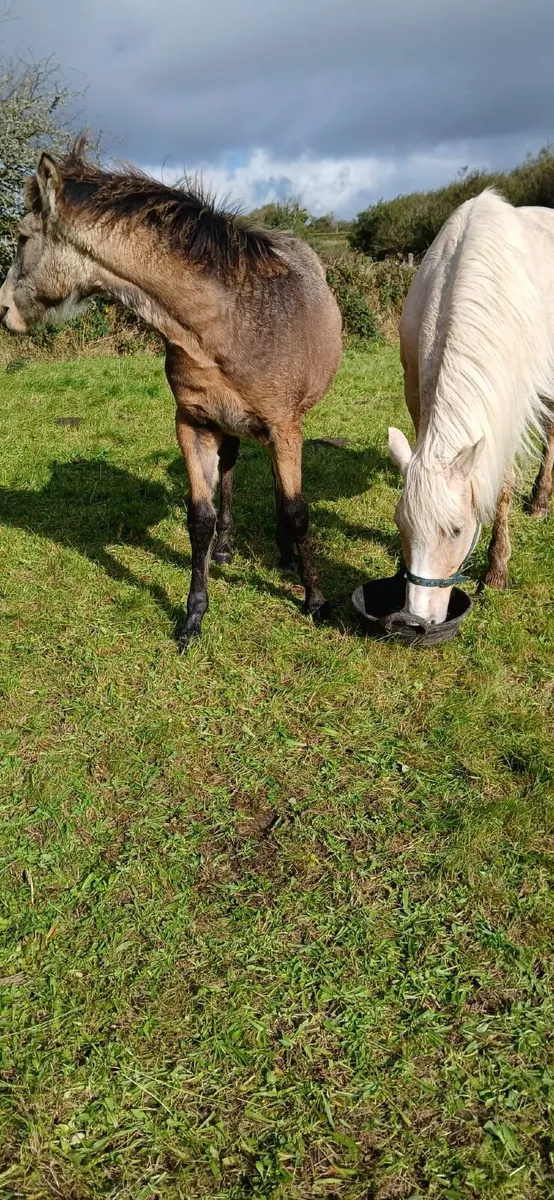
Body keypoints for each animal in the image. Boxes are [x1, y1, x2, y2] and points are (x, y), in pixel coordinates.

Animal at [0, 138, 342, 646]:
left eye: (22, 238)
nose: (3, 309)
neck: (223, 326)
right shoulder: (193, 424)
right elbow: (199, 518)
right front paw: (193, 616)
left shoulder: (284, 428)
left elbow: (296, 511)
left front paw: (315, 600)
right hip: (227, 427)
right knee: (230, 472)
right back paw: (226, 549)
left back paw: (283, 554)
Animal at [387, 190, 554, 633]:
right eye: (401, 525)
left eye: (456, 530)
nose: (414, 620)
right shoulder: (415, 390)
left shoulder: (510, 412)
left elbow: (503, 487)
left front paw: (496, 570)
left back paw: (540, 499)